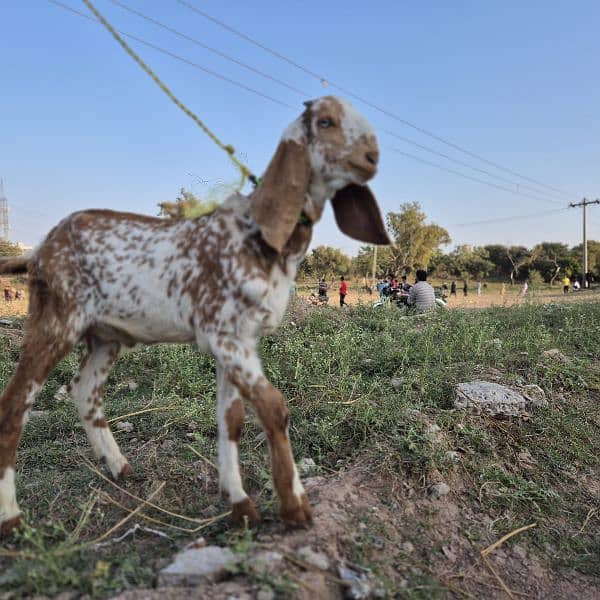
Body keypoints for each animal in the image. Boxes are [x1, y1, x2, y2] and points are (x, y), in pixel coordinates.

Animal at [0, 95, 390, 536]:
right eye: (325, 122)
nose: (372, 158)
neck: (255, 234)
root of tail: (39, 250)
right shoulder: (225, 336)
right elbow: (274, 409)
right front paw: (294, 506)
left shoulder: (238, 340)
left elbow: (231, 418)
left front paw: (239, 504)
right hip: (56, 319)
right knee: (14, 403)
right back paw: (11, 517)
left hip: (105, 335)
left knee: (84, 390)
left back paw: (120, 467)